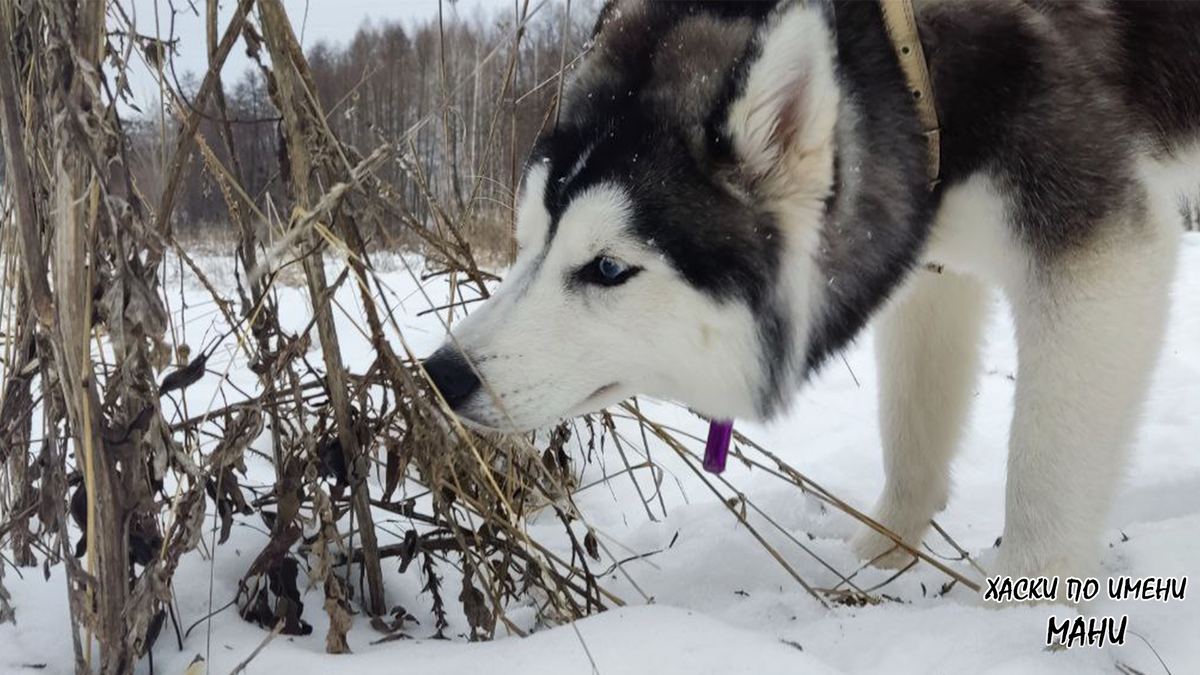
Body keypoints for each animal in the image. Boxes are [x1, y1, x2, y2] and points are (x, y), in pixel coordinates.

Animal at [422, 0, 1190, 581]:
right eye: (526, 242)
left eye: (608, 269)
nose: (441, 374)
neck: (913, 63)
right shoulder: (928, 269)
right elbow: (912, 425)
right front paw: (880, 556)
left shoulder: (1098, 254)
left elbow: (1045, 474)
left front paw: (1019, 611)